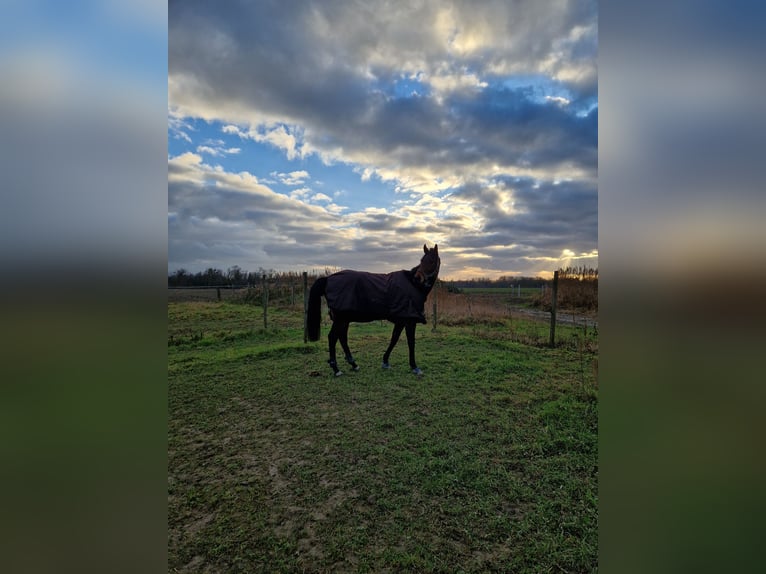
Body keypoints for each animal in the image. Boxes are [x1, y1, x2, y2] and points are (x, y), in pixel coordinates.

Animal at [304, 243, 438, 378]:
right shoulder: (409, 321)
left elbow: (394, 339)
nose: (418, 278)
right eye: (422, 261)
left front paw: (385, 362)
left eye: (431, 261)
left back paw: (353, 364)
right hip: (340, 319)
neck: (413, 285)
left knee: (342, 337)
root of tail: (328, 279)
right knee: (332, 338)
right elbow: (411, 342)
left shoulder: (401, 321)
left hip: (344, 319)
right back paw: (336, 369)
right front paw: (414, 367)